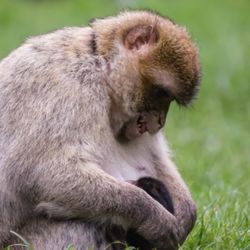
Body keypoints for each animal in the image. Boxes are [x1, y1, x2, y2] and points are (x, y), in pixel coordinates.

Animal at [0, 10, 199, 250]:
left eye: (169, 98)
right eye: (163, 93)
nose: (159, 121)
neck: (99, 64)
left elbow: (154, 160)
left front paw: (186, 215)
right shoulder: (71, 87)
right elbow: (41, 174)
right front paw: (153, 216)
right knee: (79, 226)